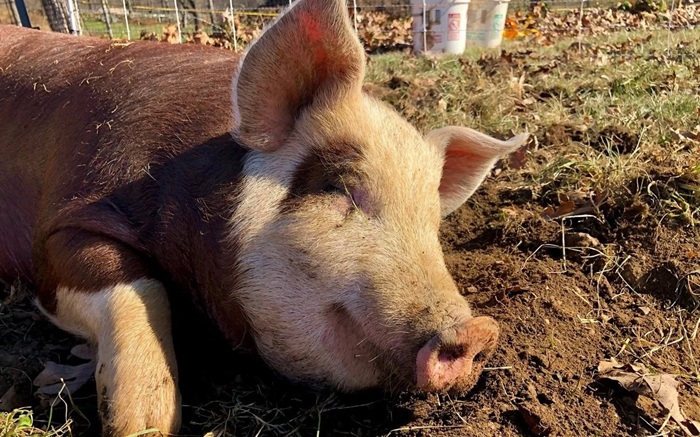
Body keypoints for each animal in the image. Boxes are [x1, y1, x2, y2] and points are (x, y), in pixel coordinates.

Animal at [0, 0, 527, 435]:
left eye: (432, 222)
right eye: (337, 185)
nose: (476, 331)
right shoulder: (63, 225)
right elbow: (138, 285)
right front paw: (144, 424)